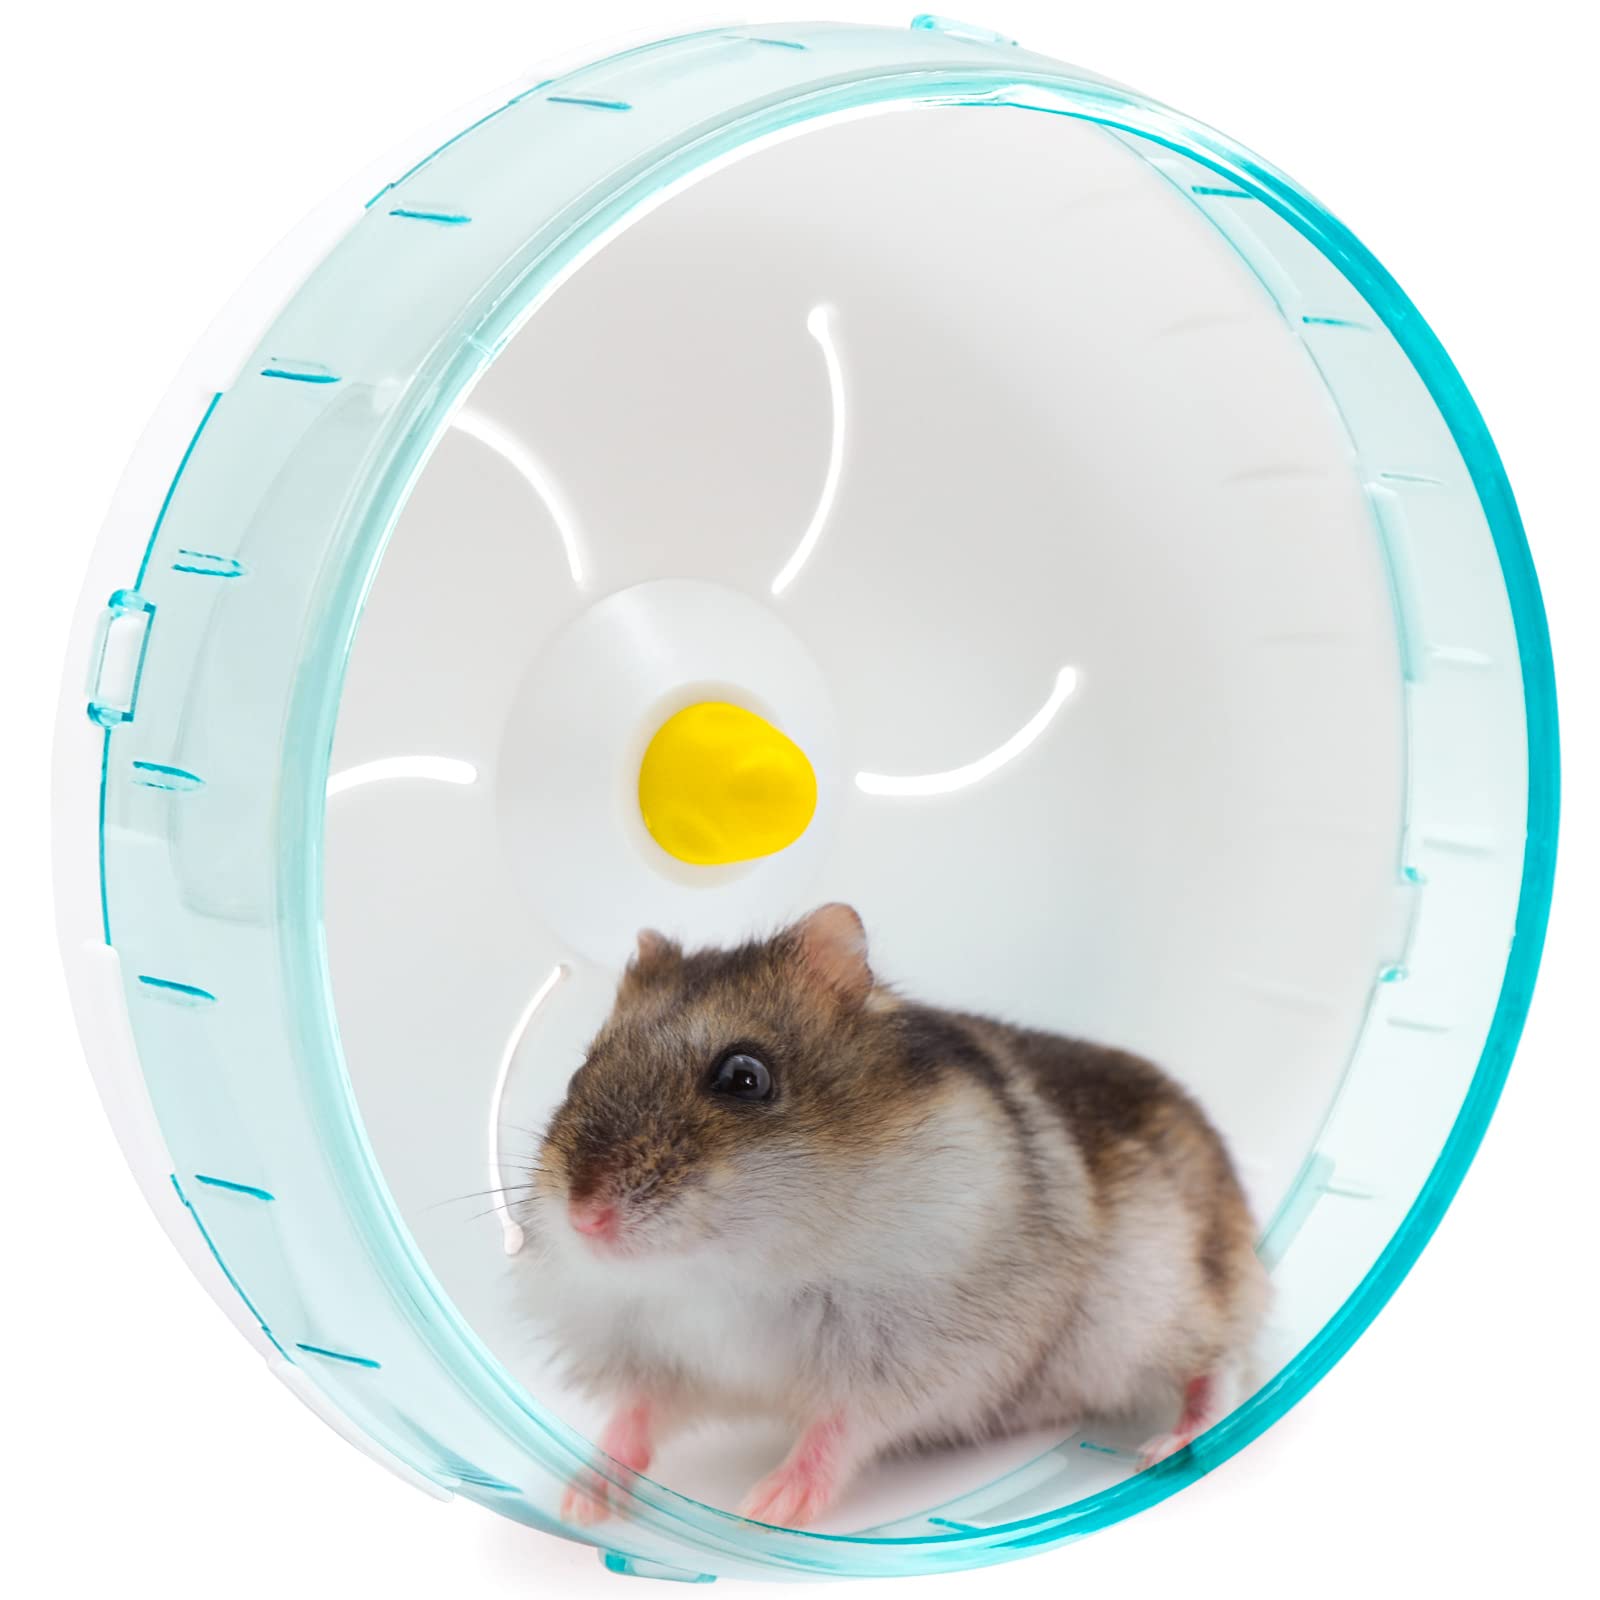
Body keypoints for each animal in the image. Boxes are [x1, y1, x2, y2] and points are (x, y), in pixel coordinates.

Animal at [519, 903, 1267, 1529]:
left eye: (744, 1076)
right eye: (582, 1068)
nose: (585, 1218)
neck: (733, 1270)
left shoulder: (918, 1359)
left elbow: (840, 1428)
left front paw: (766, 1507)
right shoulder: (659, 1355)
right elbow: (636, 1416)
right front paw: (579, 1502)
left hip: (1168, 1302)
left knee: (1219, 1366)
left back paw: (1171, 1447)